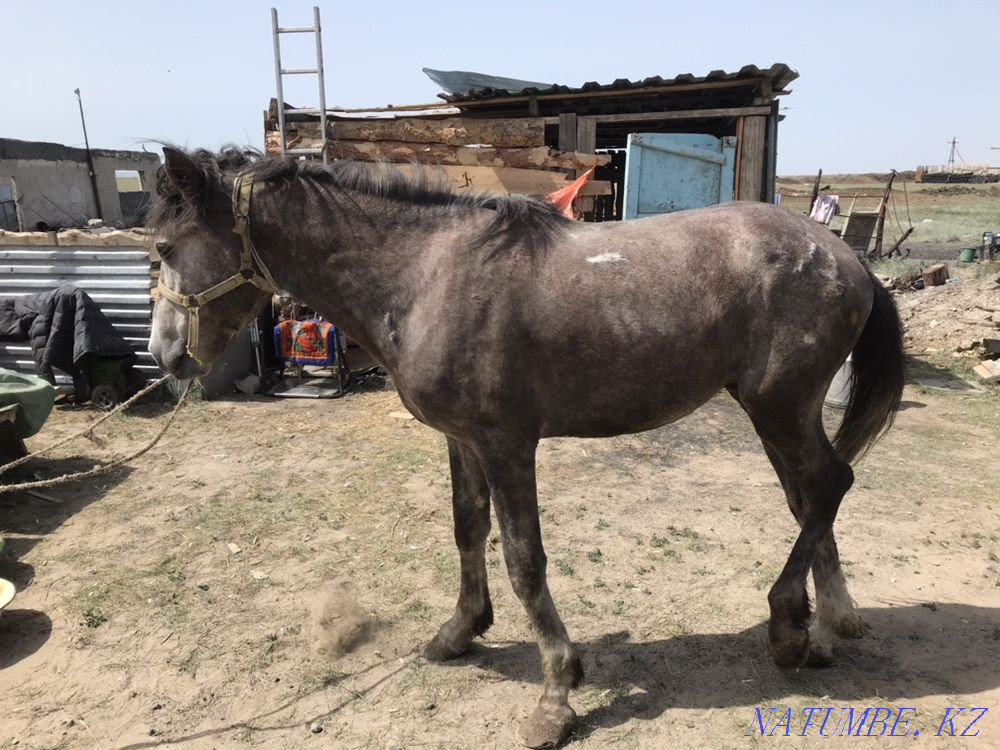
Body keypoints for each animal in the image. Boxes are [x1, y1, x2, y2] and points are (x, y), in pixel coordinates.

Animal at [148, 146, 904, 748]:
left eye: (163, 249)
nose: (164, 356)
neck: (426, 275)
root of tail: (846, 257)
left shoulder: (506, 444)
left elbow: (523, 561)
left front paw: (556, 694)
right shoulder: (461, 441)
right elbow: (466, 530)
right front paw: (461, 631)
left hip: (780, 408)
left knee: (828, 487)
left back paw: (789, 625)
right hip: (774, 412)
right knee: (811, 498)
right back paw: (828, 624)